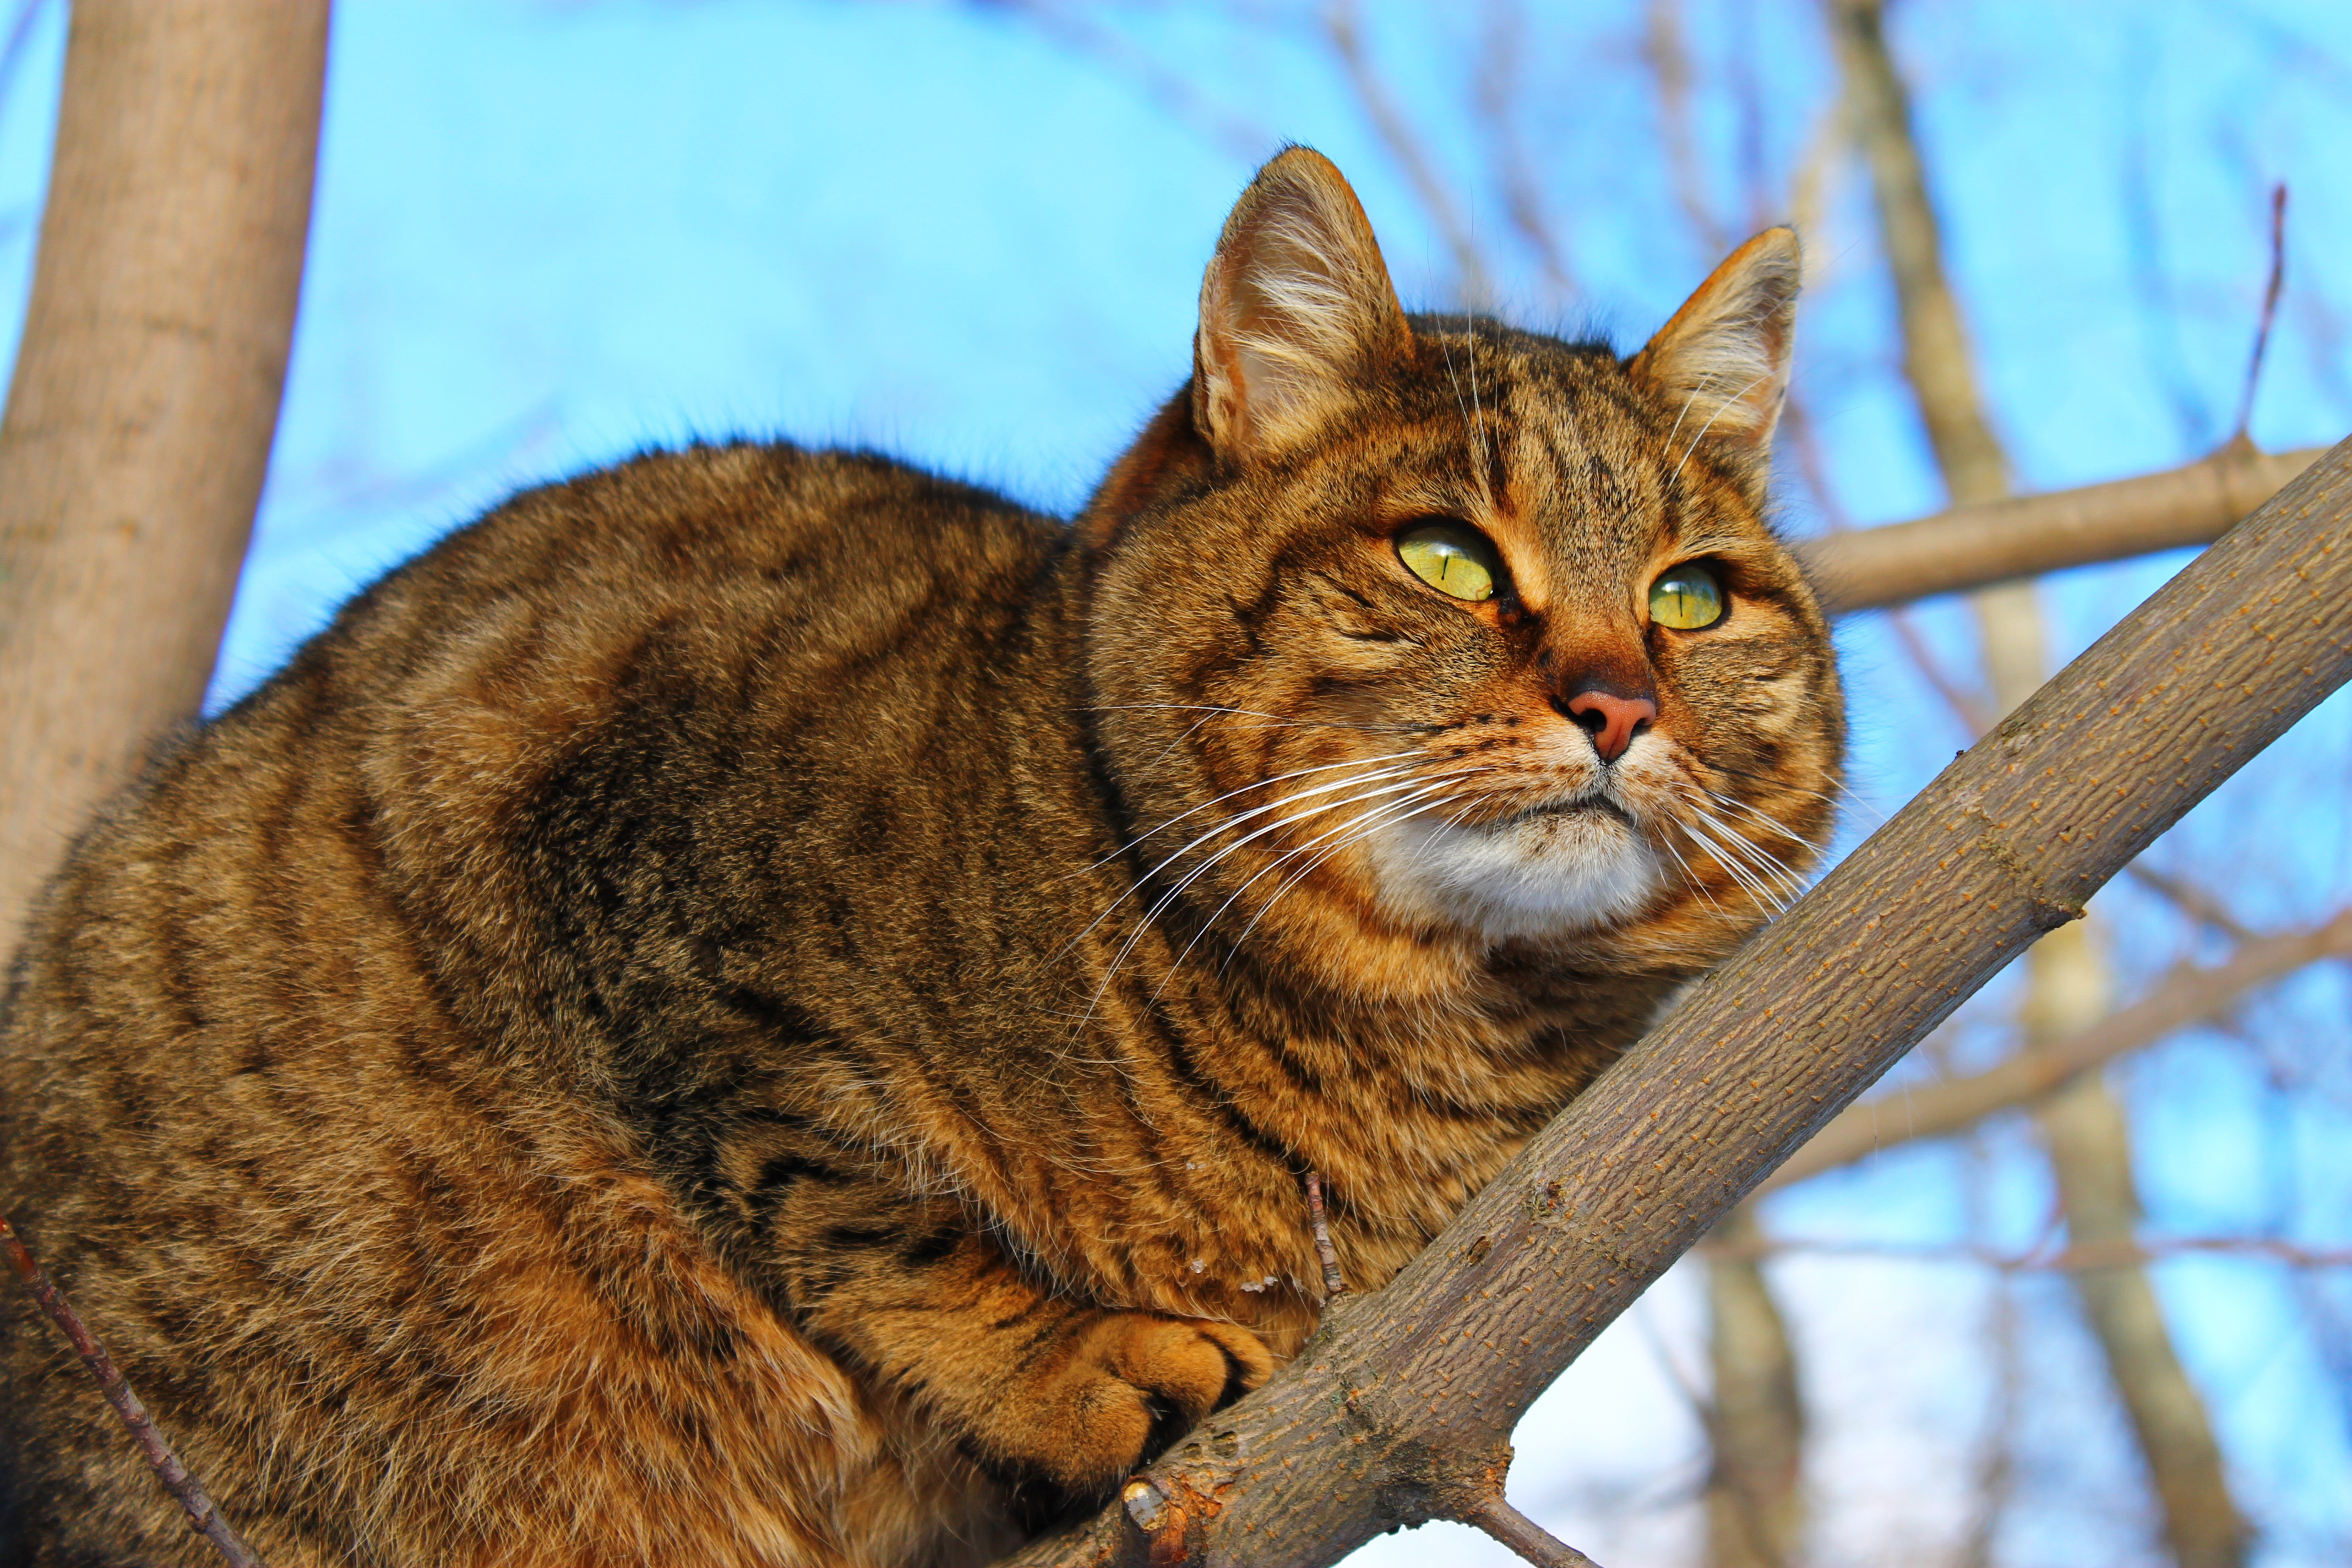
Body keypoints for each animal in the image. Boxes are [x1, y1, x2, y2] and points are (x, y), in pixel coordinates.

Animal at [0, 150, 1834, 1568]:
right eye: (1448, 554)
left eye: (1690, 595)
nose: (1615, 700)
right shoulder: (635, 868)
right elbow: (846, 1185)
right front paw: (1069, 1355)